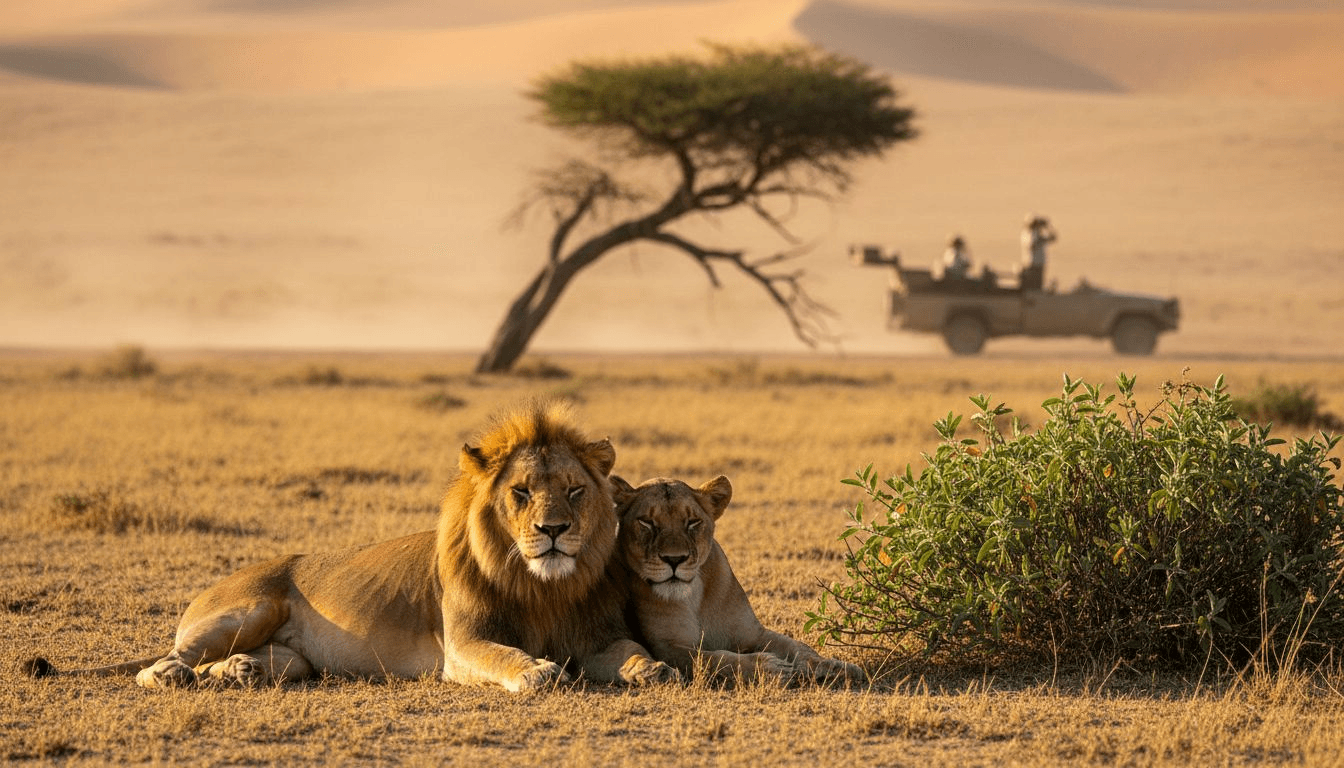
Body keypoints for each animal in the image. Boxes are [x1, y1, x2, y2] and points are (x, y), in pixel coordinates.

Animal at [25, 402, 676, 692]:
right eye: (520, 492)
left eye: (573, 490)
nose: (554, 530)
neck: (543, 587)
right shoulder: (462, 647)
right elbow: (507, 657)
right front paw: (540, 670)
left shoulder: (593, 636)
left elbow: (630, 653)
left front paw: (654, 668)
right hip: (247, 607)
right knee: (166, 661)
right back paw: (175, 675)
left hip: (294, 658)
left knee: (258, 663)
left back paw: (239, 671)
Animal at [612, 474, 863, 684]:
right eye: (646, 522)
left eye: (693, 522)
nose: (675, 559)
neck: (693, 596)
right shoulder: (668, 648)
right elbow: (715, 658)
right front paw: (771, 668)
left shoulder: (753, 633)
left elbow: (798, 647)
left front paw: (834, 666)